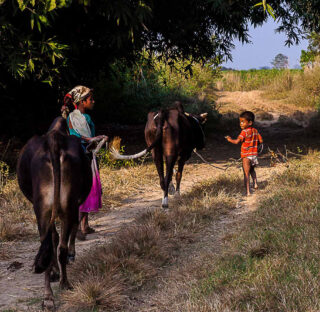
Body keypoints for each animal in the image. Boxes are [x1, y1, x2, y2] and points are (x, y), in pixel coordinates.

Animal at [16, 116, 91, 308]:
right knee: (60, 246)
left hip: (44, 208)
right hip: (64, 206)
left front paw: (55, 273)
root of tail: (54, 141)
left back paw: (50, 294)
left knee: (52, 244)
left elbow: (55, 238)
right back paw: (60, 287)